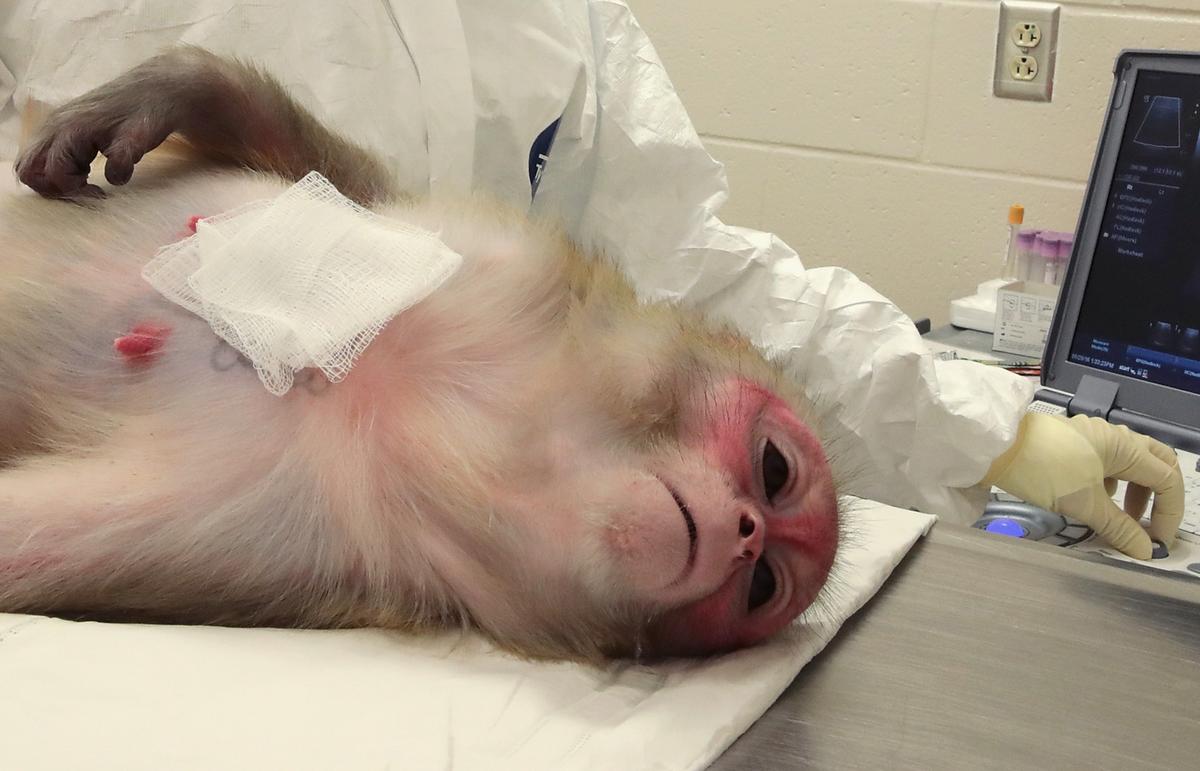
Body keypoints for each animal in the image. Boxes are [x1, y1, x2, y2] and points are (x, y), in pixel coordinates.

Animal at [1, 47, 840, 661]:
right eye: (775, 469)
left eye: (762, 585)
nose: (745, 532)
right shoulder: (488, 255)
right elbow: (329, 178)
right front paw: (171, 89)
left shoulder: (299, 546)